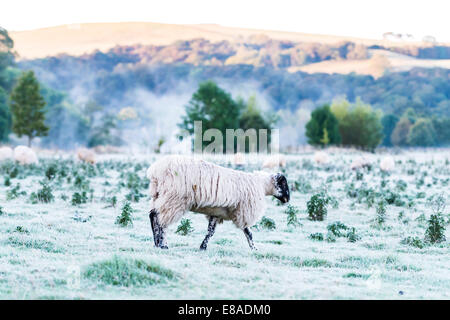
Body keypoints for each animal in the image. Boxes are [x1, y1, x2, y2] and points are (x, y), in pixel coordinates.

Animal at [146, 155, 290, 250]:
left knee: (153, 216)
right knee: (162, 221)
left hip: (158, 196)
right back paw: (163, 244)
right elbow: (248, 232)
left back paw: (156, 243)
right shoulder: (243, 211)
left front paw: (203, 246)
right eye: (283, 183)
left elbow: (210, 232)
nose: (288, 199)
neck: (262, 185)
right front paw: (254, 249)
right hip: (173, 199)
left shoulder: (217, 212)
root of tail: (155, 171)